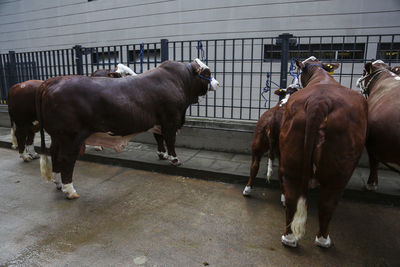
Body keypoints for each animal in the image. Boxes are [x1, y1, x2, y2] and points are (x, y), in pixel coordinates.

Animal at [36, 59, 219, 201]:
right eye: (207, 72)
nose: (217, 83)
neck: (179, 80)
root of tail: (51, 82)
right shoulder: (171, 119)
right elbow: (170, 140)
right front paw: (175, 159)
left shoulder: (157, 121)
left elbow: (159, 138)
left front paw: (162, 155)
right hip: (71, 137)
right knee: (66, 159)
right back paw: (70, 190)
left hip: (57, 137)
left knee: (55, 155)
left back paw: (59, 183)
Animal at [278, 56, 368, 249]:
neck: (321, 76)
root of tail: (319, 102)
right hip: (340, 169)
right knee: (327, 204)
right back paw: (323, 239)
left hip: (290, 159)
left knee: (291, 198)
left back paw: (289, 238)